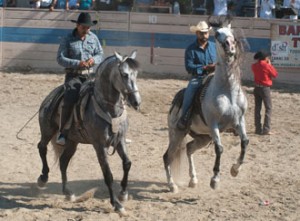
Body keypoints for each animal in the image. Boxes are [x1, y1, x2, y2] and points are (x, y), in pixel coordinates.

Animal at [163, 16, 250, 193]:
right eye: (216, 34)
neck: (227, 91)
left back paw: (193, 180)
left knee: (189, 148)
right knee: (167, 157)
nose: (230, 46)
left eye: (231, 32)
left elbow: (244, 142)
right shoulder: (213, 123)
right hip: (176, 133)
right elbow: (219, 148)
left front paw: (235, 169)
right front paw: (215, 179)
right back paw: (172, 185)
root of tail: (175, 103)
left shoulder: (239, 120)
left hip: (203, 137)